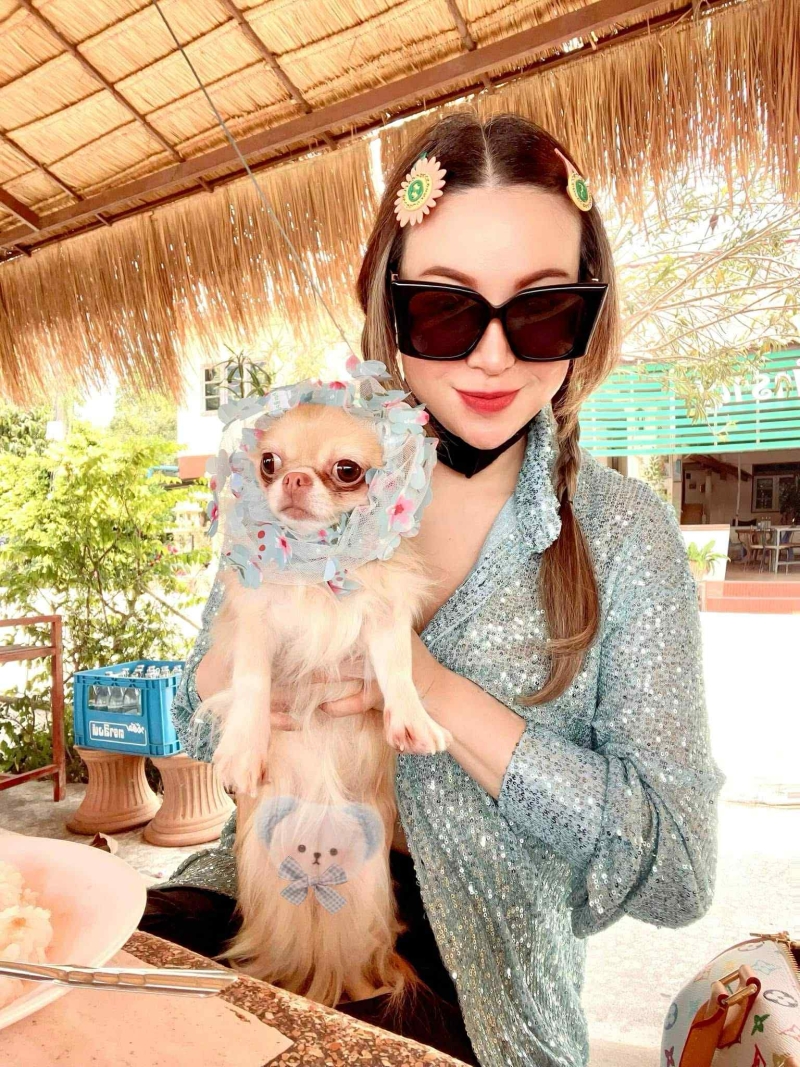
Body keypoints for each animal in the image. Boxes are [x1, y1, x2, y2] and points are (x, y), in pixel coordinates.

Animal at [196, 402, 449, 1005]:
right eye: (268, 462)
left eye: (347, 470)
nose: (292, 478)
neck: (315, 572)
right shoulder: (256, 622)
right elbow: (252, 683)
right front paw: (243, 751)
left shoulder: (382, 614)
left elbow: (397, 667)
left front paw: (412, 721)